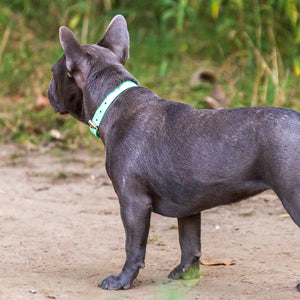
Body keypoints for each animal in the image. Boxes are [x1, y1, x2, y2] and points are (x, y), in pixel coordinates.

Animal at [47, 14, 300, 290]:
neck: (113, 101)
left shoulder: (133, 202)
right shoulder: (189, 206)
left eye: (53, 73)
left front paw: (121, 280)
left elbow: (133, 247)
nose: (48, 89)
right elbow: (189, 242)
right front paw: (186, 272)